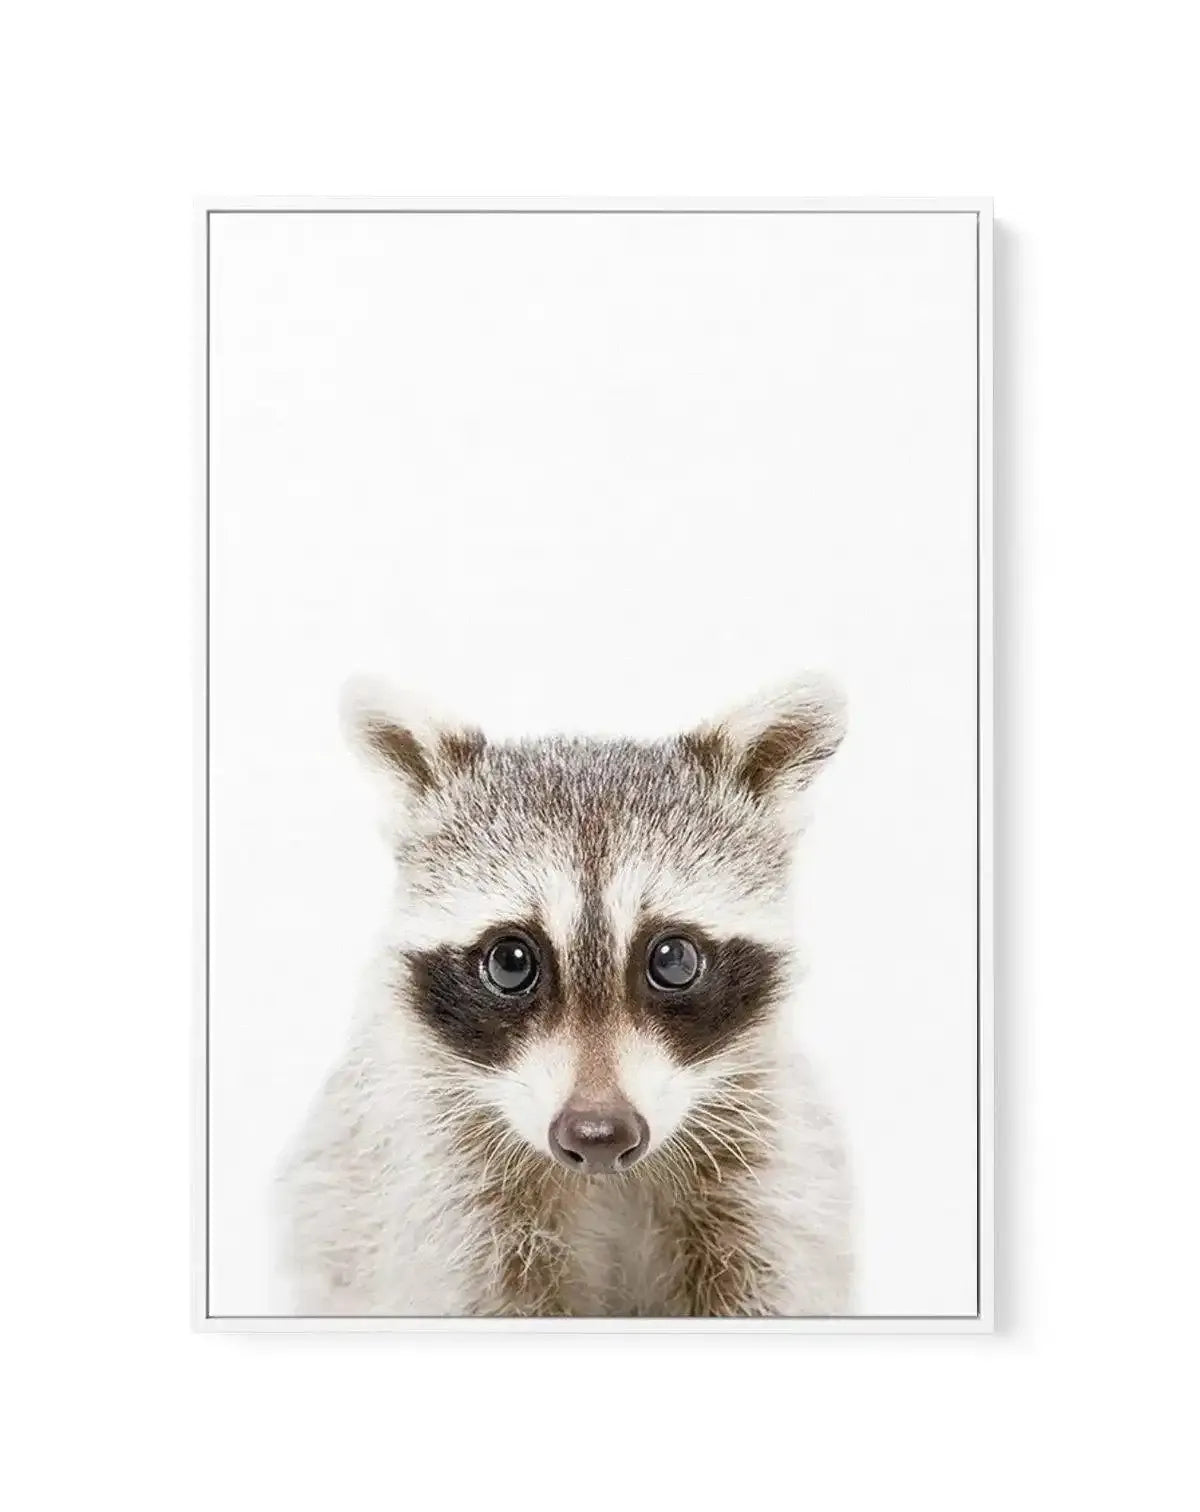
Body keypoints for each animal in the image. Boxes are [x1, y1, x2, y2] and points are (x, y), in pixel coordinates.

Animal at [279, 676, 853, 1317]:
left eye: (673, 960)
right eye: (510, 963)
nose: (598, 1136)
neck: (603, 1181)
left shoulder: (773, 1178)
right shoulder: (431, 1192)